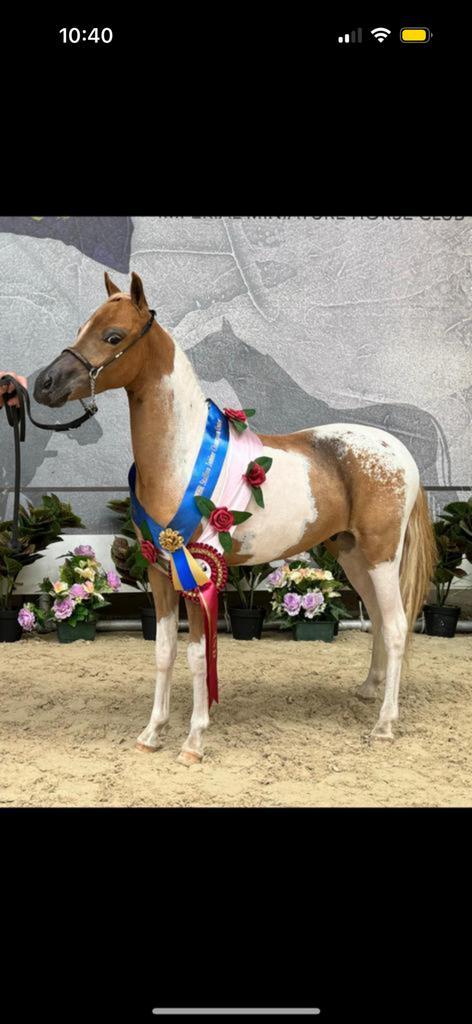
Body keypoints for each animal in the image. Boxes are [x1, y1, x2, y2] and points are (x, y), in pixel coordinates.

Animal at [33, 271, 437, 763]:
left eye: (113, 336)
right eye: (80, 329)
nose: (44, 384)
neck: (181, 456)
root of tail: (398, 450)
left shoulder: (197, 573)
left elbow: (196, 656)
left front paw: (193, 740)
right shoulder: (159, 572)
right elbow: (164, 652)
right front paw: (152, 732)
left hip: (381, 556)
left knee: (396, 626)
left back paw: (384, 724)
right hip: (353, 556)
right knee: (379, 620)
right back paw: (368, 690)